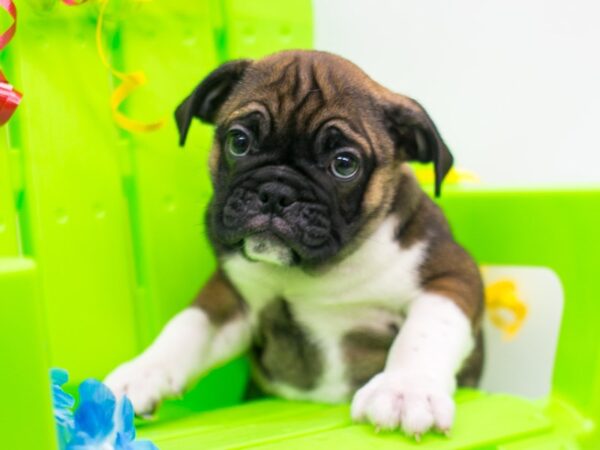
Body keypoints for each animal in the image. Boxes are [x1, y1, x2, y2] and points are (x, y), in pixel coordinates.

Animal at [106, 50, 482, 440]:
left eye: (344, 164)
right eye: (239, 142)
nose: (276, 192)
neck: (318, 271)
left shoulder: (451, 277)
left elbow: (424, 332)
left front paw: (405, 389)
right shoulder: (231, 299)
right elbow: (186, 329)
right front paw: (139, 374)